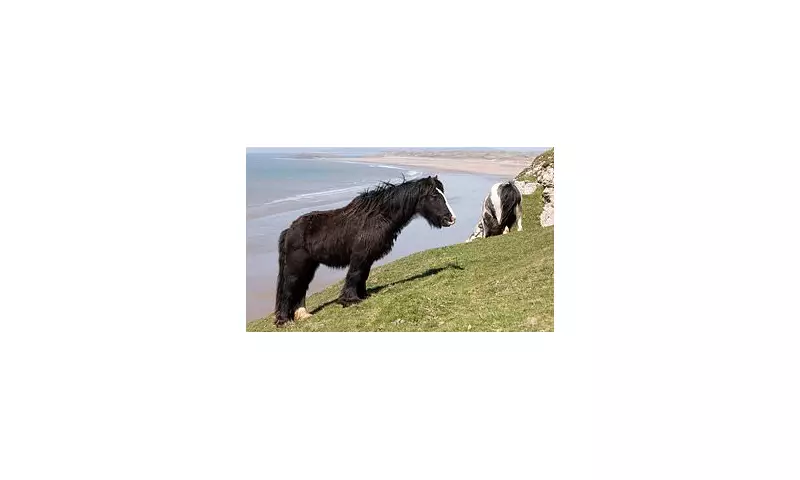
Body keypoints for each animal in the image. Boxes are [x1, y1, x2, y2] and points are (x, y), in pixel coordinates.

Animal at [274, 175, 456, 325]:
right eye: (434, 196)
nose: (450, 219)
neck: (378, 216)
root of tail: (289, 230)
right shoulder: (360, 255)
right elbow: (355, 274)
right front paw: (350, 300)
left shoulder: (367, 257)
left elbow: (363, 275)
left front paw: (362, 295)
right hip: (296, 267)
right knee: (289, 288)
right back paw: (284, 320)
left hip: (309, 266)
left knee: (301, 287)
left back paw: (303, 315)